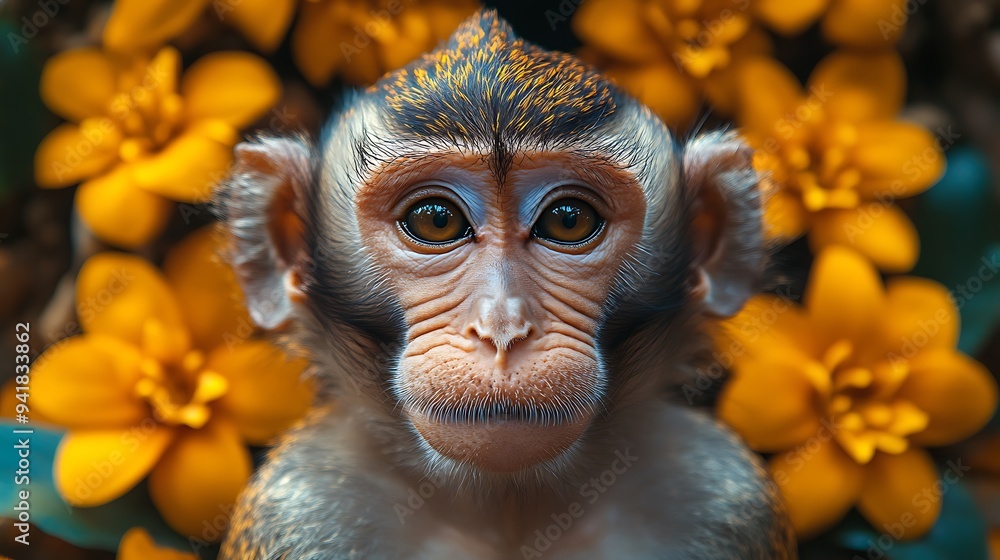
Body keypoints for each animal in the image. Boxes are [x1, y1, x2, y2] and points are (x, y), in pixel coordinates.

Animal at [215, 10, 795, 560]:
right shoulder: (299, 508)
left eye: (568, 220)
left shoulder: (723, 495)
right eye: (436, 220)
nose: (502, 330)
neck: (509, 510)